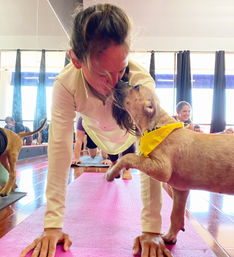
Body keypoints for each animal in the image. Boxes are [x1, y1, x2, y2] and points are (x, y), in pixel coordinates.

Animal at [105, 81, 234, 243]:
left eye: (136, 87)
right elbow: (176, 215)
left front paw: (111, 173)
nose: (119, 81)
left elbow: (128, 157)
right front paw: (170, 236)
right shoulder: (180, 190)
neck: (156, 125)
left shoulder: (161, 169)